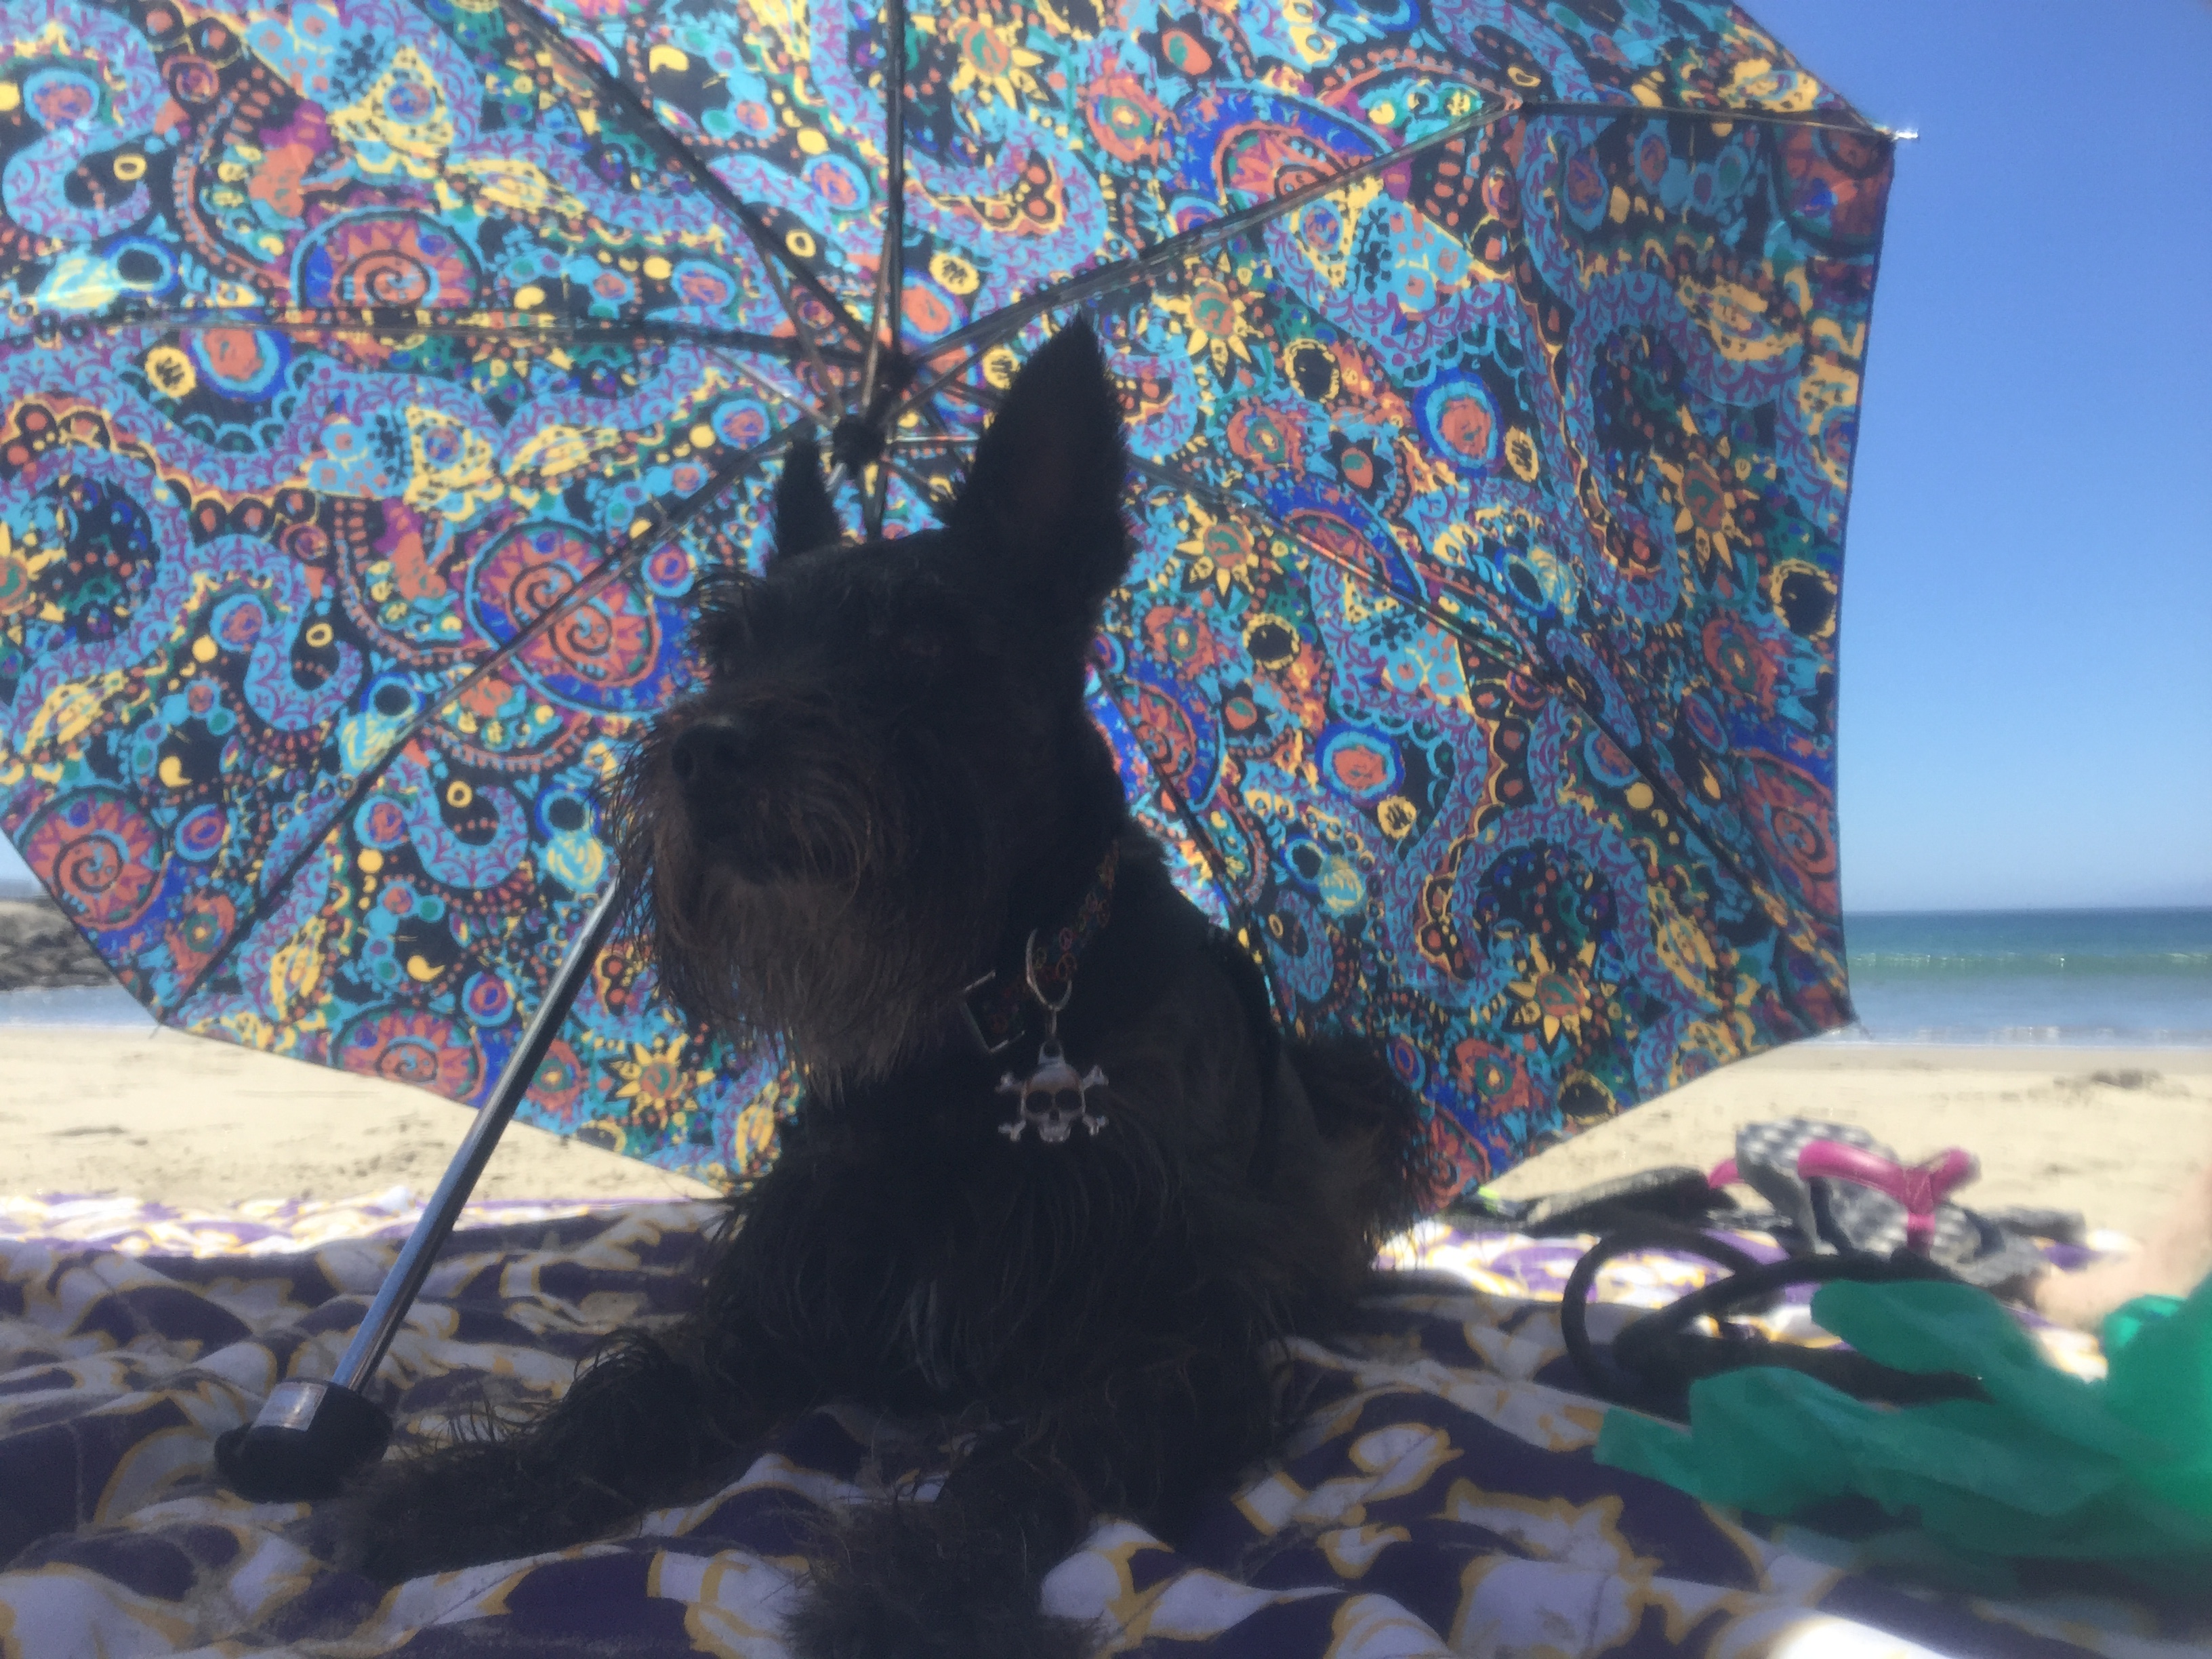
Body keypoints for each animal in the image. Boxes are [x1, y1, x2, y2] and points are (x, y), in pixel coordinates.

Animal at [346, 319, 1429, 1658]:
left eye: (917, 639)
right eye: (727, 648)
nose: (704, 751)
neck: (979, 1027)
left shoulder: (1173, 1337)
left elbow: (1029, 1459)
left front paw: (916, 1591)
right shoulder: (792, 1284)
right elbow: (637, 1389)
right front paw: (482, 1487)